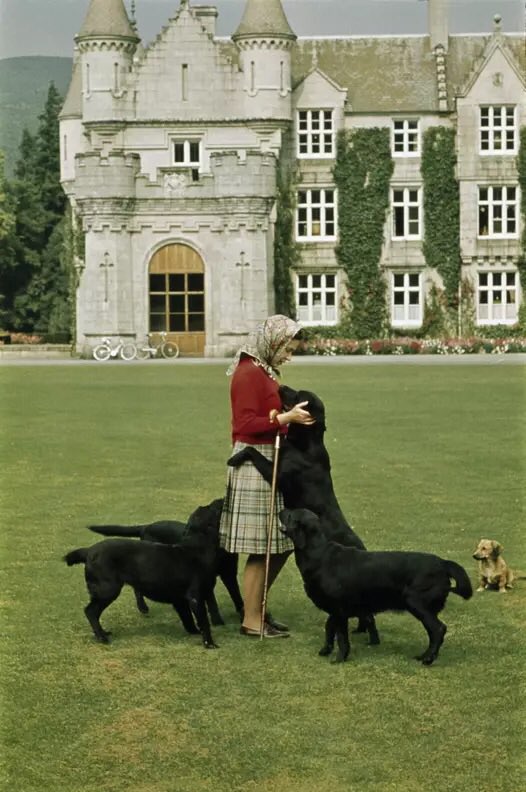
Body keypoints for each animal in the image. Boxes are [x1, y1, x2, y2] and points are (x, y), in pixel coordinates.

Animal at [87, 496, 244, 624]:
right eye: (211, 507)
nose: (222, 498)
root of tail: (146, 526)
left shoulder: (229, 574)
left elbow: (237, 596)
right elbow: (212, 603)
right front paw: (218, 622)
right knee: (137, 588)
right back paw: (143, 607)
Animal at [227, 386, 380, 648]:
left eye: (300, 396)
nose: (281, 386)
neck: (304, 443)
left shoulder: (278, 474)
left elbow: (252, 450)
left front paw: (234, 458)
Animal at [282, 508, 476, 664]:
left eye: (291, 514)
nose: (281, 510)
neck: (319, 553)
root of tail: (443, 563)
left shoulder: (339, 609)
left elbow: (342, 637)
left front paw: (340, 658)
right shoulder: (334, 609)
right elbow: (329, 628)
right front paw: (325, 650)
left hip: (416, 602)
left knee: (438, 630)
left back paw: (428, 658)